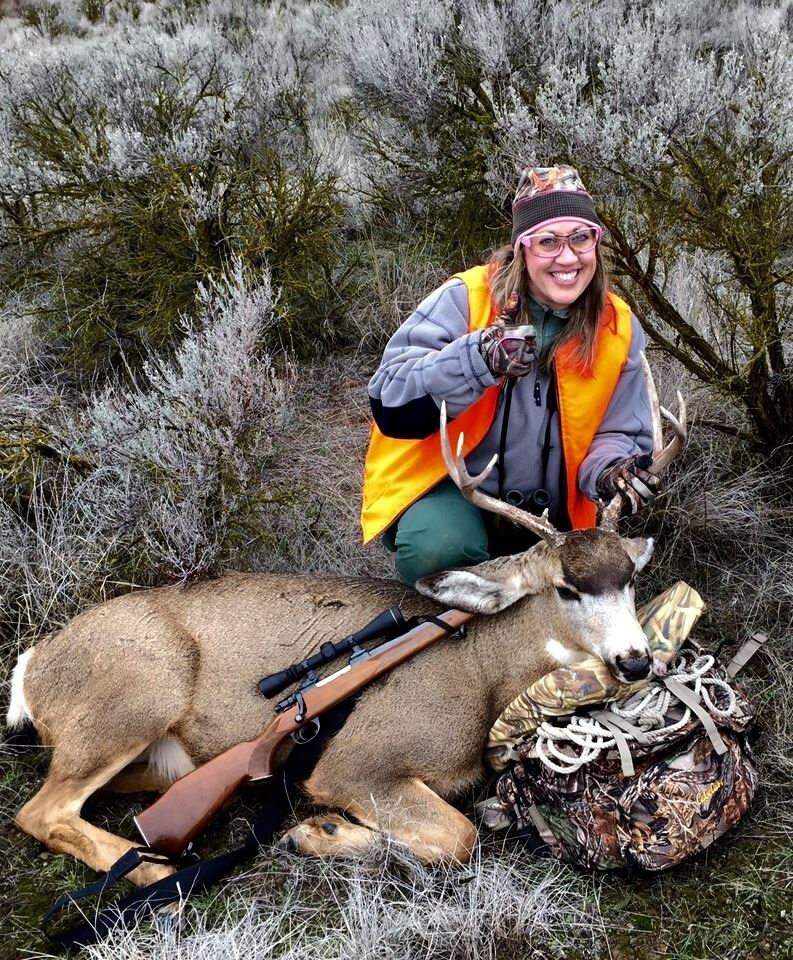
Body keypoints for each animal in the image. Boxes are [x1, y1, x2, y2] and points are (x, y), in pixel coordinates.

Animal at [7, 360, 685, 888]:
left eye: (630, 577)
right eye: (568, 588)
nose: (636, 660)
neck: (483, 673)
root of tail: (30, 666)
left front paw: (322, 832)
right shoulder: (357, 761)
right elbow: (459, 839)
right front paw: (317, 831)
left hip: (154, 752)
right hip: (134, 696)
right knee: (40, 811)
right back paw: (154, 872)